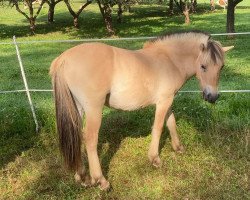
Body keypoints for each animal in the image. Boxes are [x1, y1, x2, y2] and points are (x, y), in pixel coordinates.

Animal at [49, 30, 233, 190]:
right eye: (203, 66)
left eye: (221, 67)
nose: (212, 97)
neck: (169, 60)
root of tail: (63, 59)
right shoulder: (163, 102)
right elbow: (158, 128)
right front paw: (155, 159)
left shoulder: (168, 100)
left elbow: (171, 123)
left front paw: (178, 147)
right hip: (93, 108)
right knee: (90, 138)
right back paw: (101, 180)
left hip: (77, 108)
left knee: (77, 135)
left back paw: (81, 176)